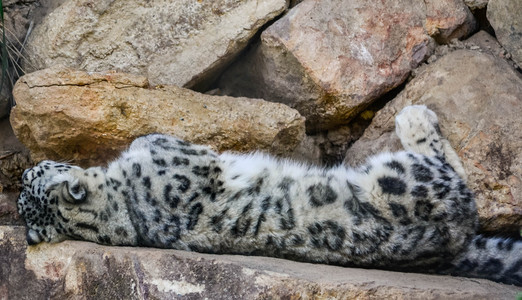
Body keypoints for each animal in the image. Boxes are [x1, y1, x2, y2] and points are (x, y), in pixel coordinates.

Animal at [17, 106, 520, 286]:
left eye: (31, 175)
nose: (23, 167)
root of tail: (451, 247)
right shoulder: (186, 158)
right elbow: (156, 139)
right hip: (402, 180)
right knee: (451, 171)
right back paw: (414, 117)